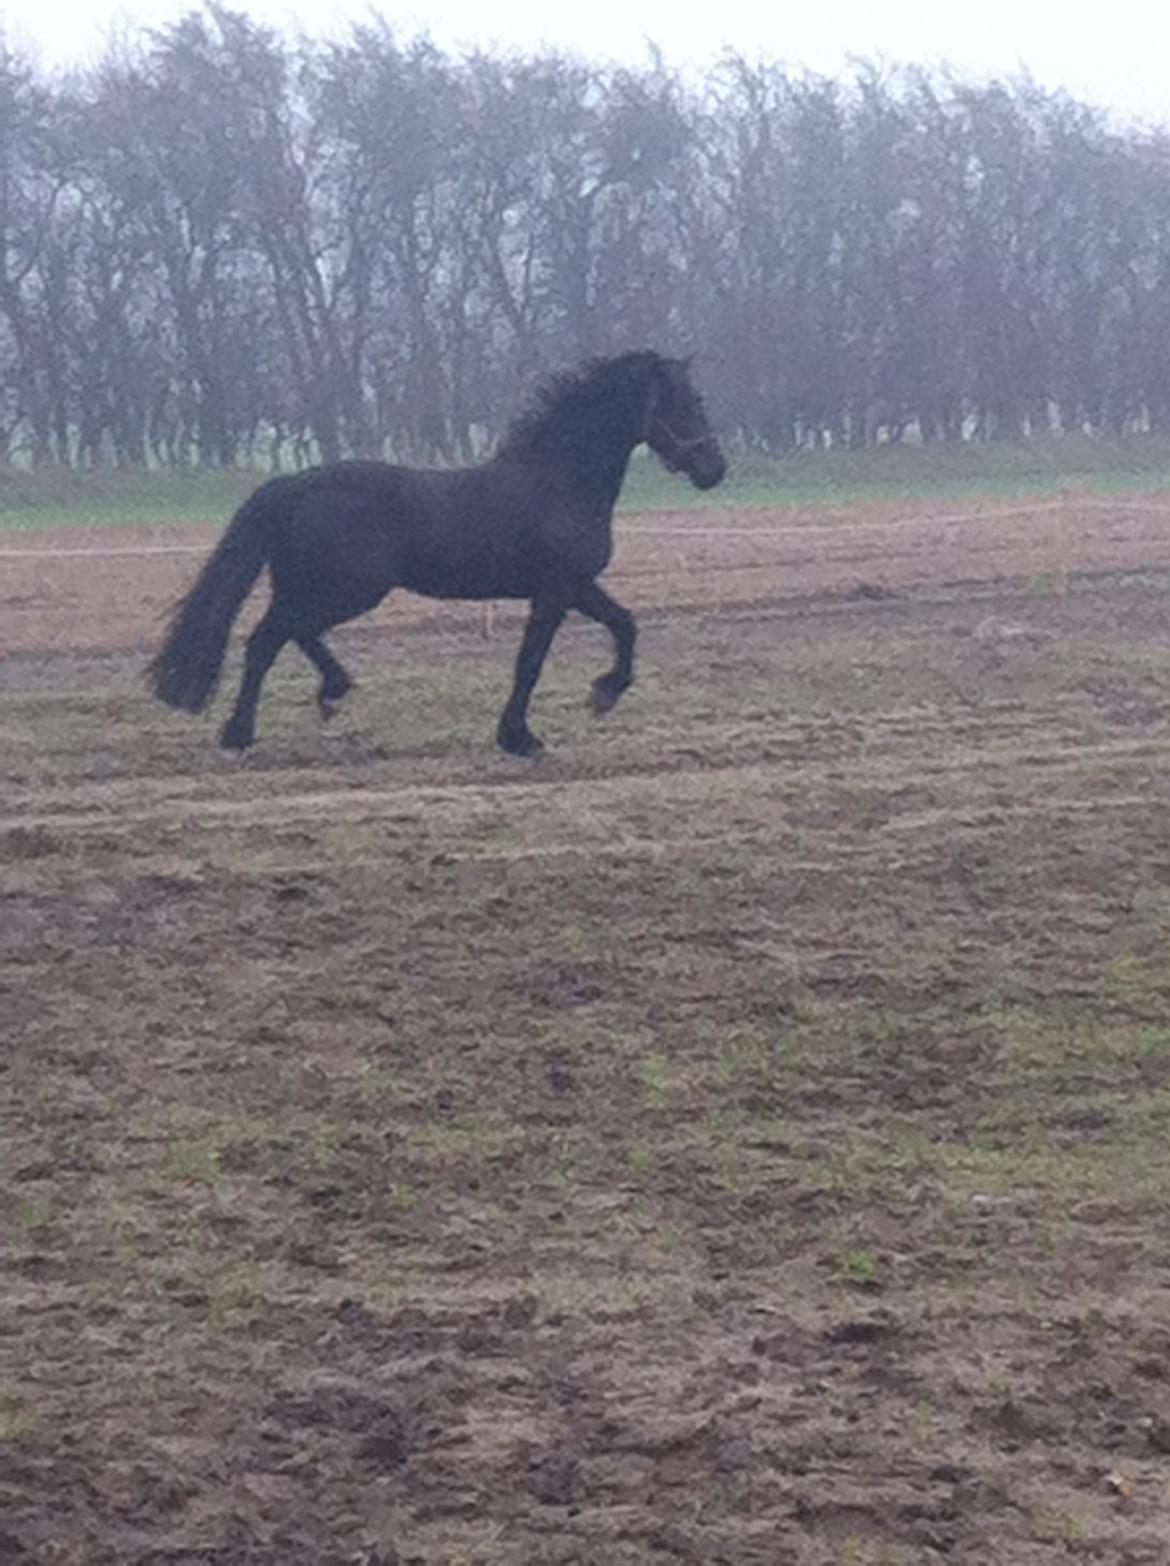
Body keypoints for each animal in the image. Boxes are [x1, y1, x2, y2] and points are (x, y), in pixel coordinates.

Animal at [151, 352, 726, 754]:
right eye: (683, 403)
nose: (715, 468)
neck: (559, 481)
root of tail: (293, 485)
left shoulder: (576, 586)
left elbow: (625, 624)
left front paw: (602, 694)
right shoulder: (556, 590)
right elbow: (530, 664)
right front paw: (521, 737)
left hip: (318, 588)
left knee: (289, 633)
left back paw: (329, 692)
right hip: (344, 590)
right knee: (267, 640)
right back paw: (242, 731)